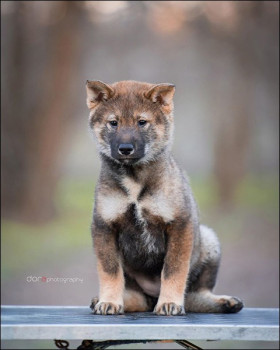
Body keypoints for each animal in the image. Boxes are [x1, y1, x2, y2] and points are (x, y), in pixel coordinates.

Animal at [86, 80, 243, 316]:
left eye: (142, 122)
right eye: (113, 123)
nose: (125, 149)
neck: (134, 179)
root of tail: (152, 296)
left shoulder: (179, 224)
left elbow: (173, 269)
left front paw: (169, 303)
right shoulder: (104, 226)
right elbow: (110, 271)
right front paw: (109, 301)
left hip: (208, 239)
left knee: (196, 294)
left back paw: (223, 301)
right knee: (139, 299)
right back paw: (112, 301)